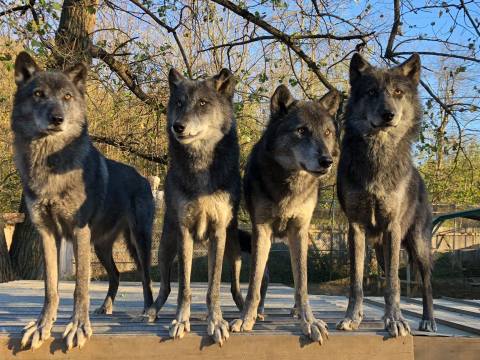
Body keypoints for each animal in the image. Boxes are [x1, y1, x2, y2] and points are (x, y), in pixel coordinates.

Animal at [11, 52, 154, 350]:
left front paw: (77, 326)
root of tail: (143, 178)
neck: (50, 163)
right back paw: (106, 307)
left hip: (138, 241)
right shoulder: (47, 234)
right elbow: (51, 287)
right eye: (39, 94)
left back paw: (148, 311)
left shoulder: (78, 232)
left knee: (146, 276)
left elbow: (80, 287)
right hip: (100, 246)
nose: (57, 118)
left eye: (67, 96)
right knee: (116, 274)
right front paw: (42, 326)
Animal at [336, 53, 436, 338]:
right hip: (381, 251)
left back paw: (428, 320)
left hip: (418, 245)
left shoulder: (392, 227)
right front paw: (352, 317)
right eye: (371, 92)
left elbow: (394, 284)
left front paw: (396, 321)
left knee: (426, 282)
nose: (388, 114)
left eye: (398, 92)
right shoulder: (355, 228)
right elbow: (357, 282)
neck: (377, 157)